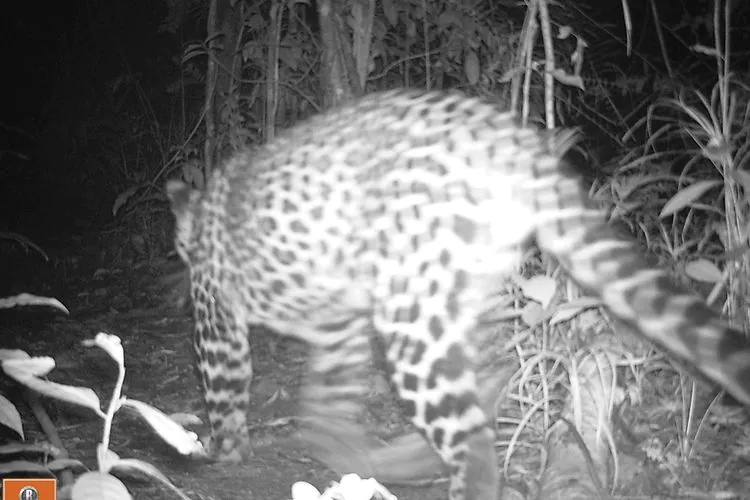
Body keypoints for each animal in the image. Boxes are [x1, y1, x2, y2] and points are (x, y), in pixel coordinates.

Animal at [169, 89, 750, 500]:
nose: (179, 249)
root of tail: (502, 133)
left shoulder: (217, 314)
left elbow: (223, 387)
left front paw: (222, 450)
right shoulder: (340, 323)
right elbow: (330, 397)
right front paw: (337, 450)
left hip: (410, 311)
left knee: (469, 433)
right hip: (462, 285)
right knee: (490, 373)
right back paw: (409, 457)